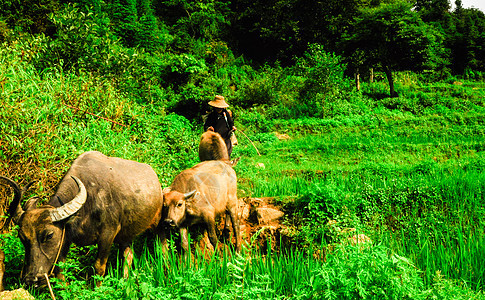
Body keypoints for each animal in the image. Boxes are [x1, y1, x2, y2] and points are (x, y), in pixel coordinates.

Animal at [0, 151, 164, 288]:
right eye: (22, 238)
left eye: (49, 235)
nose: (31, 279)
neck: (88, 204)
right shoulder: (66, 238)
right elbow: (60, 269)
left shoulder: (108, 234)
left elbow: (99, 266)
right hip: (126, 236)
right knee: (128, 255)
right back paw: (124, 281)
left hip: (157, 224)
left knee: (162, 248)